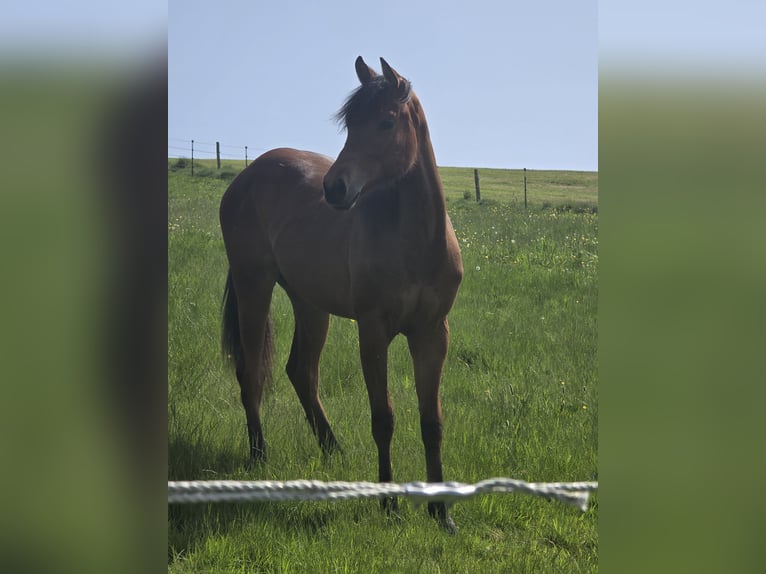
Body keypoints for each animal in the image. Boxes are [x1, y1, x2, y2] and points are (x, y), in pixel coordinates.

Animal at [219, 57, 463, 532]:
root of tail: (246, 176)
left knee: (301, 372)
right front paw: (388, 503)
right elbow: (383, 418)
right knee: (252, 373)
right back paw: (260, 456)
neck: (415, 241)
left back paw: (334, 450)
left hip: (310, 304)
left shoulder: (432, 334)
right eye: (350, 124)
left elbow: (432, 422)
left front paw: (441, 512)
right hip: (253, 285)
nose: (334, 188)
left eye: (386, 122)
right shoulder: (373, 332)